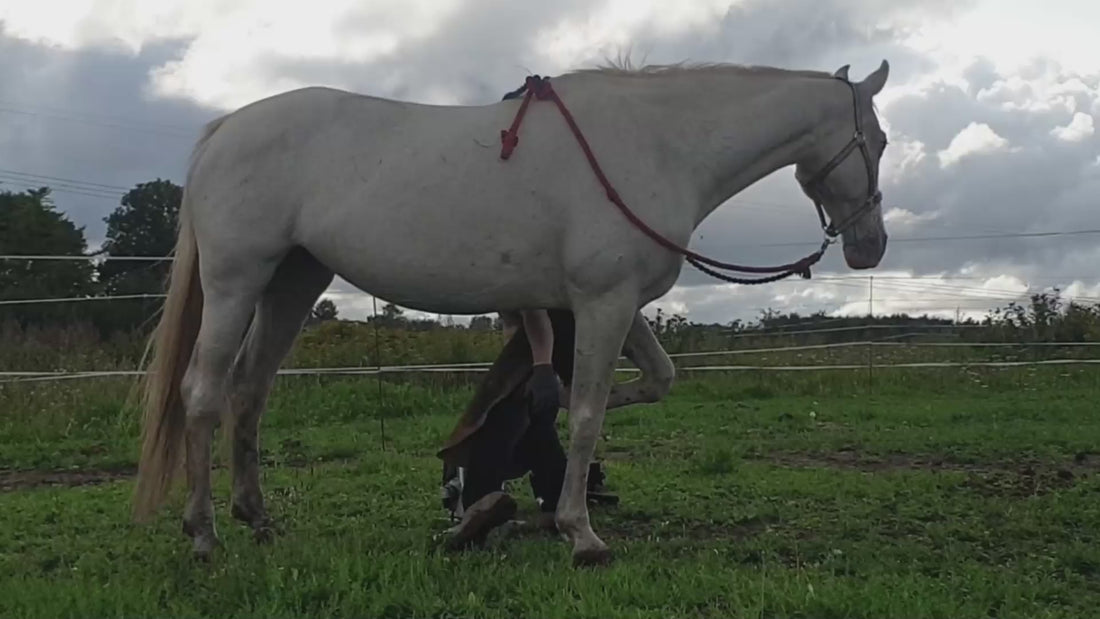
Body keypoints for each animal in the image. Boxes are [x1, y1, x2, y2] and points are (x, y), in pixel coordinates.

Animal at [133, 59, 893, 567]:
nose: (870, 245)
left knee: (249, 395)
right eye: (880, 142)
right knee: (203, 394)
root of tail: (226, 128)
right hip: (237, 283)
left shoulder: (611, 304)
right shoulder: (603, 301)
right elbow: (585, 412)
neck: (652, 144)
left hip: (290, 285)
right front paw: (581, 532)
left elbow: (651, 381)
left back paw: (258, 519)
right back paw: (204, 534)